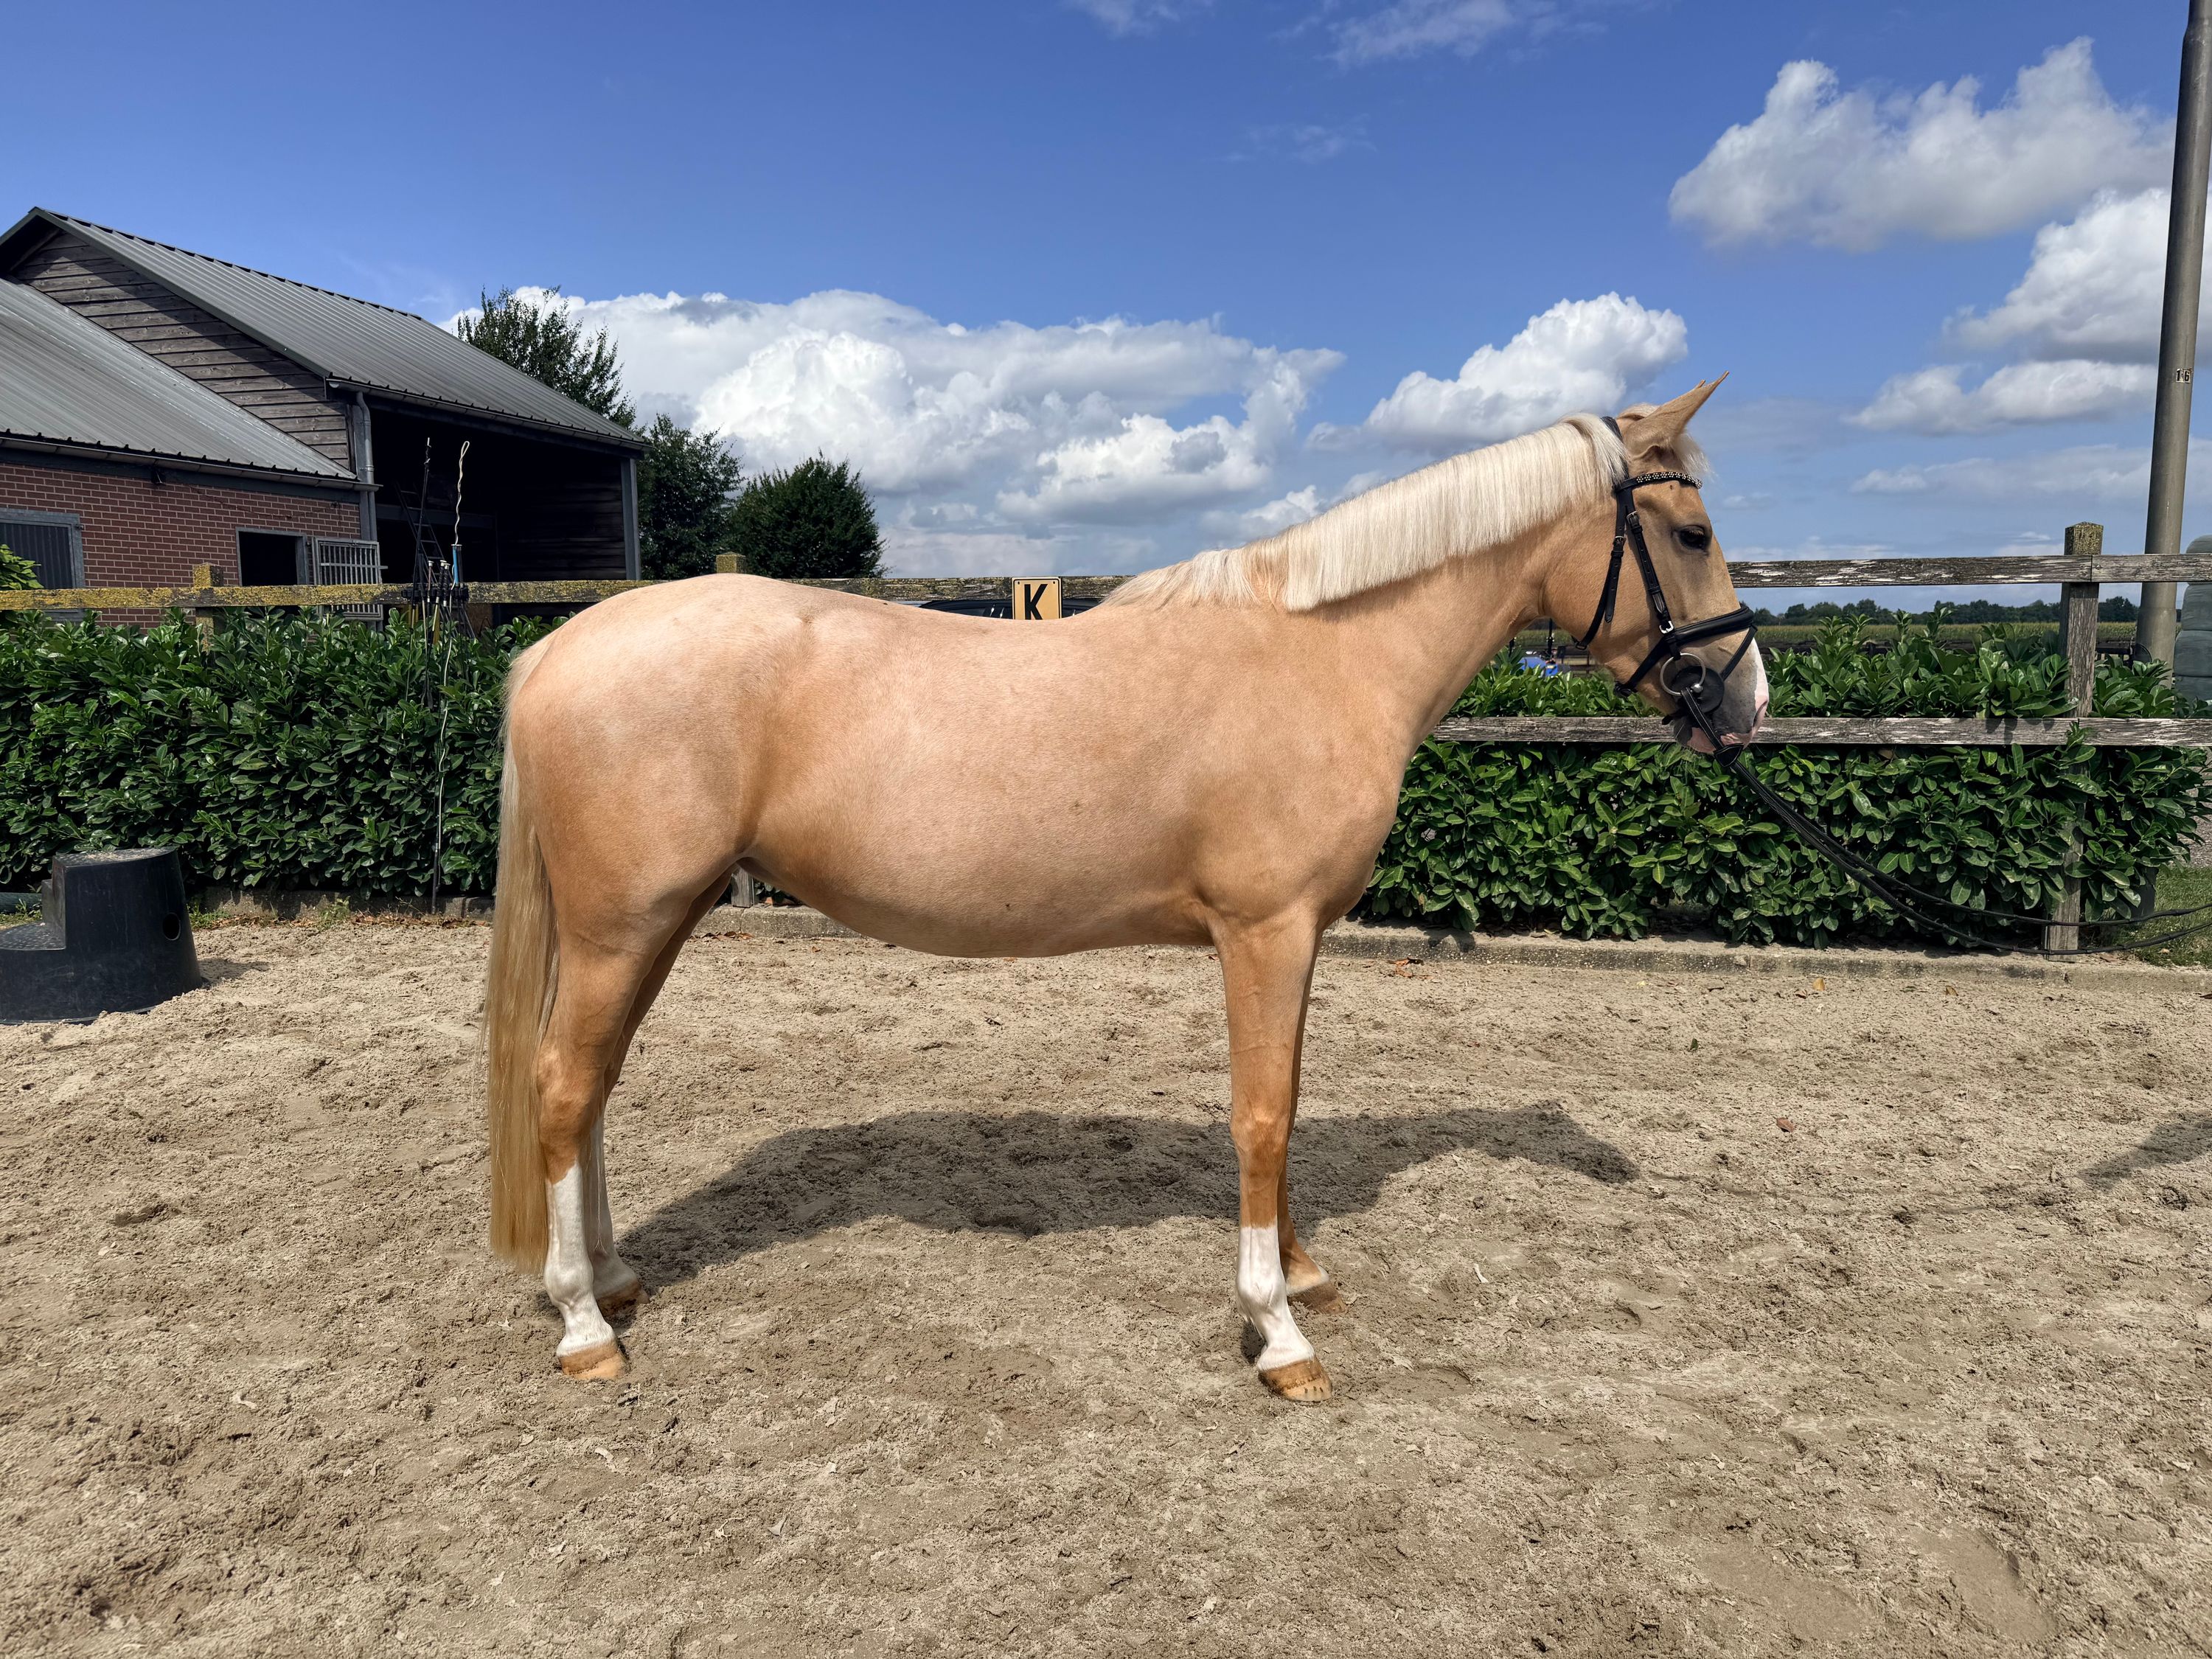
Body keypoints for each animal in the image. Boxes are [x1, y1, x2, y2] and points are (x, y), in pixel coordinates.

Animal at [483, 378, 1765, 1400]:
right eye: (1692, 530)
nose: (1744, 699)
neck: (1321, 655)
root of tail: (554, 649)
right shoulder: (1266, 932)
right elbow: (1263, 1114)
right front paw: (1278, 1330)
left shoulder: (1294, 939)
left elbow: (1288, 1104)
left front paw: (1304, 1271)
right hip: (624, 924)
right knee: (563, 1084)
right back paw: (585, 1324)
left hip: (655, 922)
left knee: (593, 1087)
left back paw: (615, 1276)